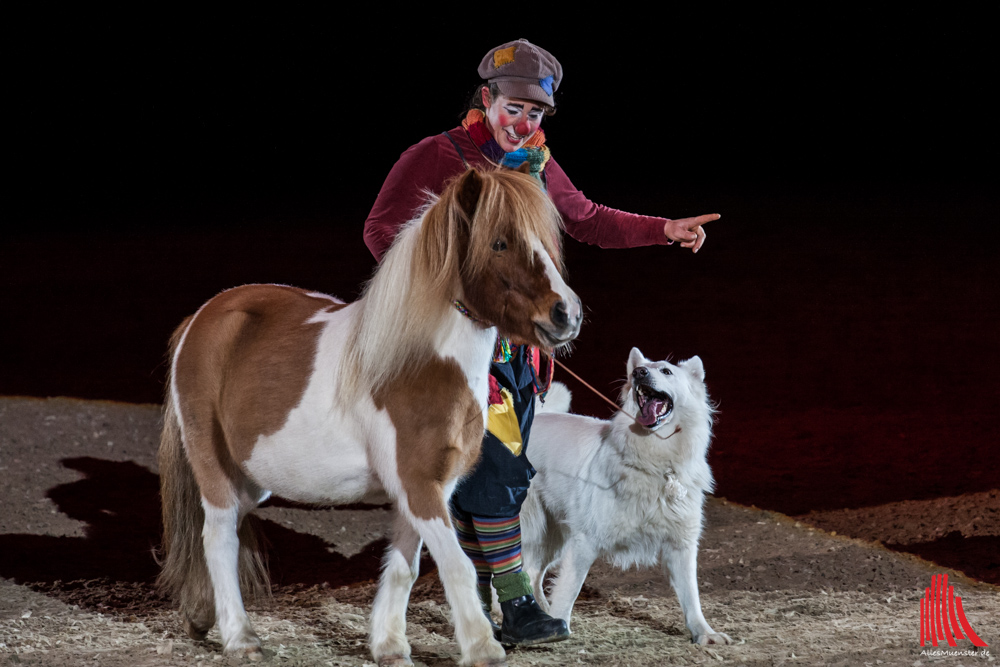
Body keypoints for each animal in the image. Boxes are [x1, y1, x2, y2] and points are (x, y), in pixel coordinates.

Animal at [159, 166, 584, 664]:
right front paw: (482, 645)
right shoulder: (420, 486)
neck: (420, 362)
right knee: (218, 538)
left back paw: (200, 615)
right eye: (499, 243)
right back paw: (240, 638)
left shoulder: (425, 489)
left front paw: (390, 645)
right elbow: (456, 563)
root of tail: (201, 318)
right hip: (214, 467)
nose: (567, 313)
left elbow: (405, 567)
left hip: (251, 477)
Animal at [520, 350, 732, 648]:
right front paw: (560, 625)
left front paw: (704, 633)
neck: (657, 463)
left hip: (551, 536)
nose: (638, 373)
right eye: (640, 370)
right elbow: (568, 591)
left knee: (532, 573)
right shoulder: (584, 542)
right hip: (529, 526)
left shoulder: (681, 546)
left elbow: (692, 597)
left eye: (666, 371)